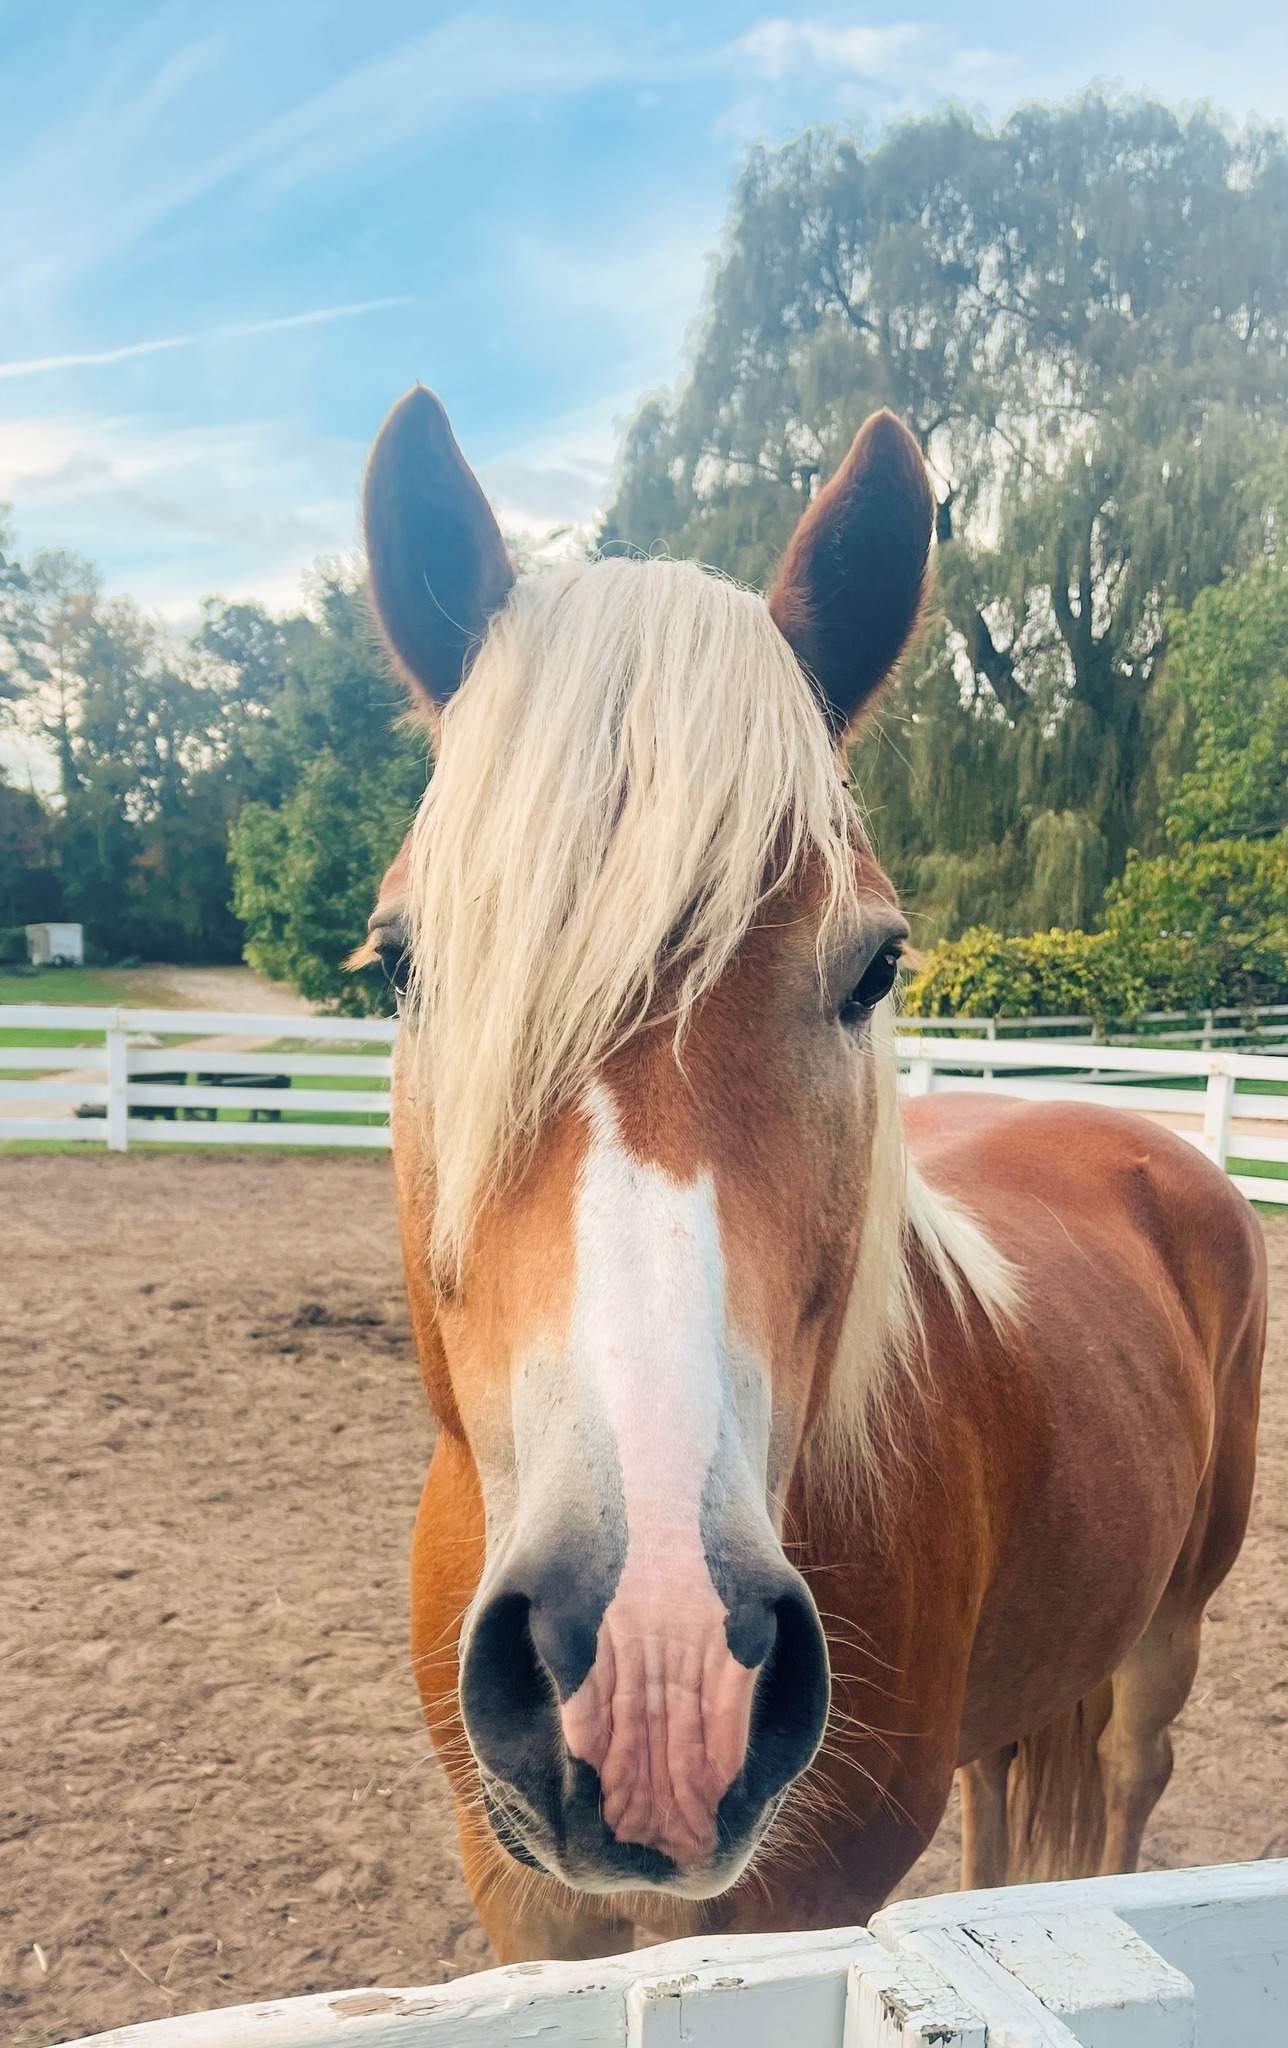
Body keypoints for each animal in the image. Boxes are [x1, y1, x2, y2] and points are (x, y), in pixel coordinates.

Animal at [353, 386, 1265, 1963]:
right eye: (405, 963)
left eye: (876, 967)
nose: (657, 1671)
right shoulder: (522, 1899)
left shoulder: (804, 1902)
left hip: (1168, 1639)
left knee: (1119, 1793)